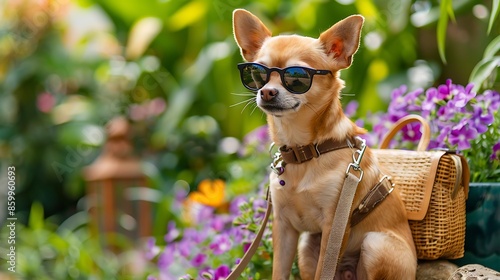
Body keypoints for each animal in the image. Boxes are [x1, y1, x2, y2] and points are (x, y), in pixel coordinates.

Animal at [233, 8, 418, 280]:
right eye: (257, 74)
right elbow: (280, 271)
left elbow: (324, 270)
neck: (304, 152)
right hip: (307, 245)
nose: (266, 92)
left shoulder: (334, 225)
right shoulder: (284, 227)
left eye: (296, 77)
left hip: (375, 244)